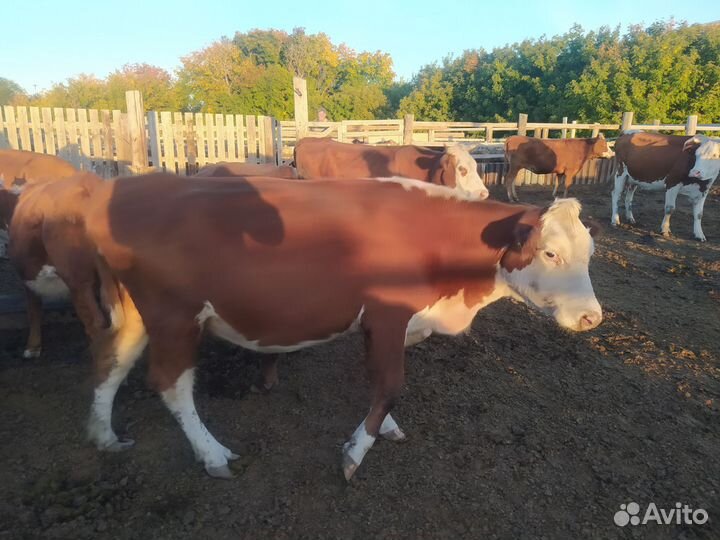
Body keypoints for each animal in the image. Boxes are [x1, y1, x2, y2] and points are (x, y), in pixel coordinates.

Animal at [82, 172, 602, 480]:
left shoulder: (382, 323)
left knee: (110, 363)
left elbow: (377, 381)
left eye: (590, 253)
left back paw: (103, 436)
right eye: (550, 253)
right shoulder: (389, 315)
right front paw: (356, 452)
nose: (592, 317)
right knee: (169, 385)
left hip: (138, 316)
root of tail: (126, 190)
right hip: (175, 318)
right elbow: (390, 385)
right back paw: (212, 454)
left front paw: (382, 428)